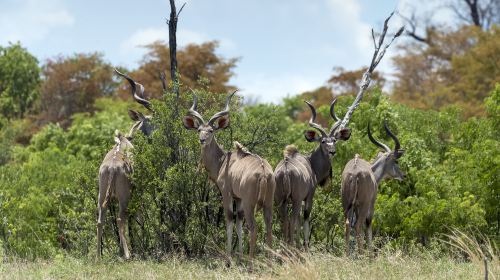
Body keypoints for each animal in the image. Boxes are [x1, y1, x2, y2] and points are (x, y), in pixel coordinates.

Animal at [95, 71, 153, 260]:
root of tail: (112, 167)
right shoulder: (138, 192)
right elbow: (137, 219)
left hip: (102, 196)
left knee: (101, 220)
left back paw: (98, 256)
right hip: (124, 196)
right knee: (121, 218)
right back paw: (127, 254)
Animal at [183, 91, 276, 264]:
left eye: (211, 130)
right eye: (199, 129)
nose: (202, 140)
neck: (223, 161)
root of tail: (264, 172)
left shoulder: (227, 194)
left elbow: (229, 219)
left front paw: (229, 259)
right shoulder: (238, 198)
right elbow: (238, 221)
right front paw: (239, 257)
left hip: (250, 203)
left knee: (253, 227)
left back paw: (251, 264)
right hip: (268, 203)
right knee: (268, 226)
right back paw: (270, 263)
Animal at [274, 99, 352, 248]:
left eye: (334, 140)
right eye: (323, 141)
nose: (332, 151)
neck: (310, 162)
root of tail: (285, 170)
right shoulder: (308, 196)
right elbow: (305, 219)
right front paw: (305, 246)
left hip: (281, 201)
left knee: (284, 221)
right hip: (296, 200)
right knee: (293, 220)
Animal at [342, 121, 404, 256]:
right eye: (396, 161)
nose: (403, 175)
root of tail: (354, 173)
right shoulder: (371, 204)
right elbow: (369, 224)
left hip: (346, 204)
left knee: (348, 224)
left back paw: (347, 256)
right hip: (364, 205)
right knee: (358, 225)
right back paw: (362, 256)